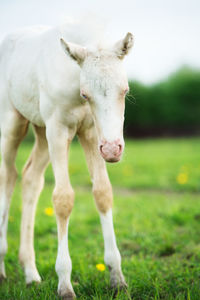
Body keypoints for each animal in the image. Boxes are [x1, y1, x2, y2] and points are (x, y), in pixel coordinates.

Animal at [0, 19, 134, 298]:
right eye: (85, 95)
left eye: (125, 90)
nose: (112, 150)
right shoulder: (59, 129)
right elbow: (63, 199)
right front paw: (64, 284)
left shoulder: (91, 132)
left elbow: (103, 192)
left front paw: (117, 278)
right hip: (13, 123)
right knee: (7, 176)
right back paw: (2, 268)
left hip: (41, 131)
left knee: (31, 178)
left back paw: (31, 273)